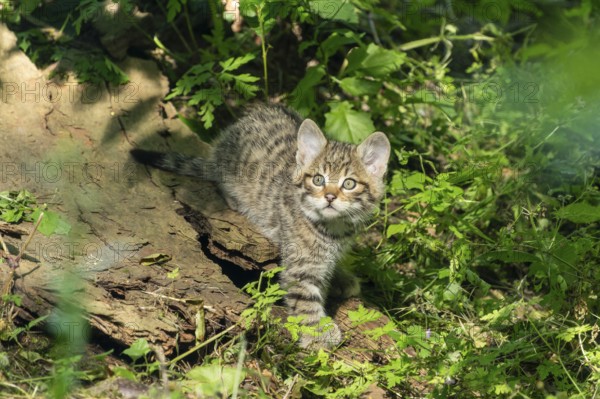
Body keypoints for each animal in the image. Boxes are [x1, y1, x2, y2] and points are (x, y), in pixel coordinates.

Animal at [132, 104, 392, 348]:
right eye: (318, 180)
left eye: (349, 184)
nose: (329, 197)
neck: (333, 229)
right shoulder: (299, 266)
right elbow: (305, 299)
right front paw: (317, 334)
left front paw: (341, 278)